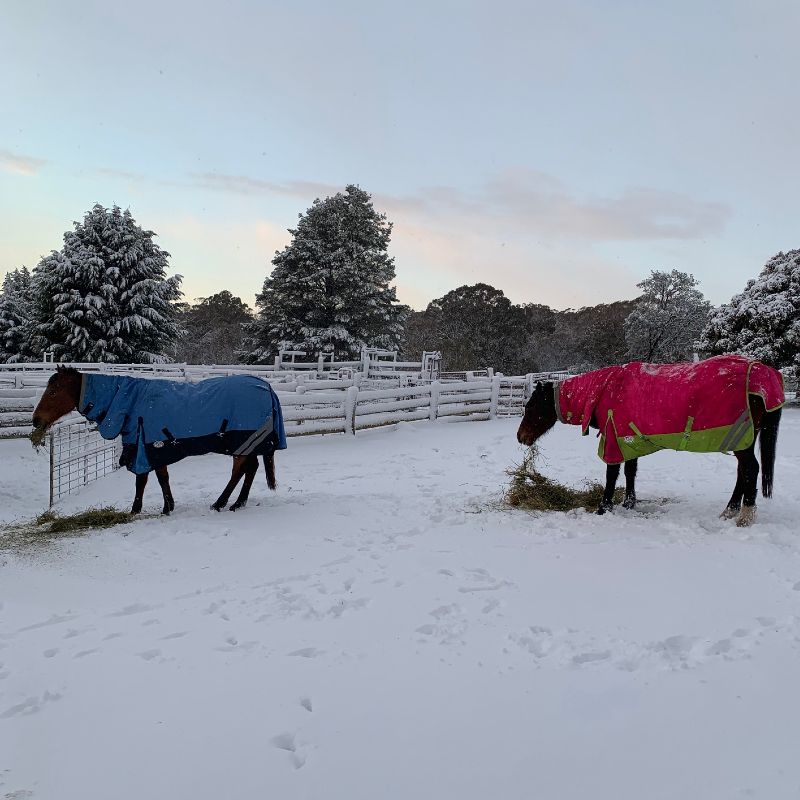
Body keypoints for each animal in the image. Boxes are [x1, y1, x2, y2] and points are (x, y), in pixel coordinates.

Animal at [31, 366, 287, 515]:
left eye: (53, 392)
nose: (36, 420)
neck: (131, 400)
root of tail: (266, 386)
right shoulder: (153, 447)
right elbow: (162, 478)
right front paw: (168, 506)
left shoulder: (144, 446)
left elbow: (143, 480)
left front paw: (137, 510)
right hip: (246, 444)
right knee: (250, 468)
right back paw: (237, 503)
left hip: (242, 441)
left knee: (240, 471)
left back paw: (221, 503)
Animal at [516, 356, 784, 526]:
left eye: (531, 407)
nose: (520, 437)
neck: (606, 390)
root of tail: (761, 370)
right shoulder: (628, 440)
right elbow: (630, 471)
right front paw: (628, 503)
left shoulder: (614, 440)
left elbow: (612, 475)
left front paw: (604, 508)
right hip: (742, 441)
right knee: (743, 472)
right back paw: (729, 511)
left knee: (751, 469)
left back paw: (744, 517)